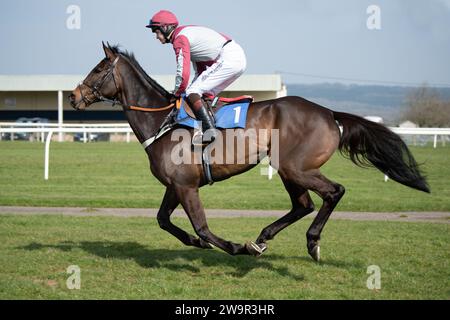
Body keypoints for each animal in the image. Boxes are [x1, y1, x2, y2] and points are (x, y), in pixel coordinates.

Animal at [68, 43, 430, 262]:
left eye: (98, 69)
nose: (73, 96)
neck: (163, 121)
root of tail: (329, 112)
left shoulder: (186, 186)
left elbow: (201, 226)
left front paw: (232, 246)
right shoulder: (176, 185)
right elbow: (163, 220)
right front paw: (197, 244)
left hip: (296, 167)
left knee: (333, 192)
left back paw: (310, 241)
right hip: (288, 169)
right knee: (304, 204)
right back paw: (263, 238)